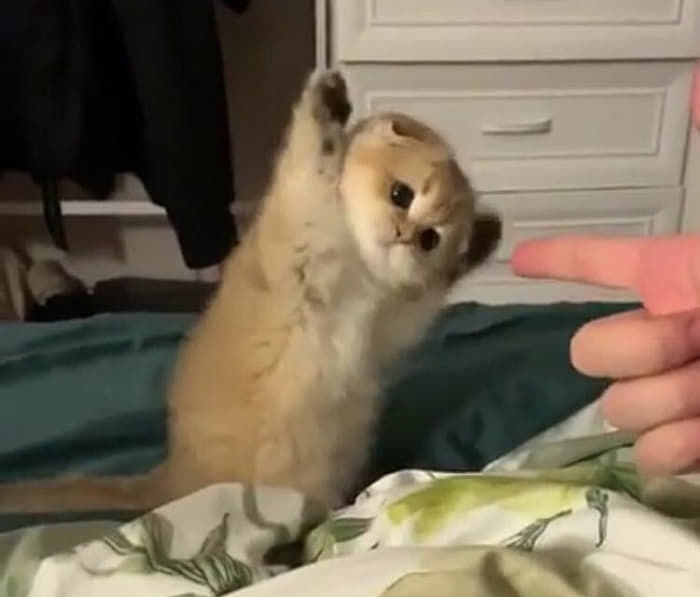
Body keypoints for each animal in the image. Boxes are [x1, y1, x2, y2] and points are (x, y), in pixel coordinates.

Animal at [0, 70, 501, 513]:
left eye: (429, 239)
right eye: (400, 194)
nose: (403, 235)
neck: (358, 270)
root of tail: (175, 475)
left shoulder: (390, 322)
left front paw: (480, 242)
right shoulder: (301, 213)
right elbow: (309, 157)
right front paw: (326, 101)